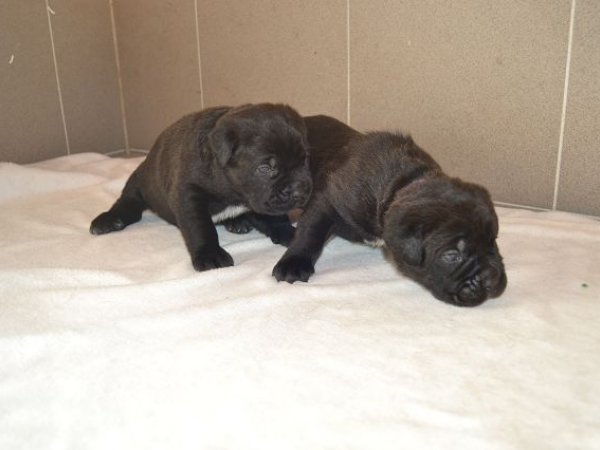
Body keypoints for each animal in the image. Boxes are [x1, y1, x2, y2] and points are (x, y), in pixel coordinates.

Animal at [90, 103, 312, 271]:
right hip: (140, 181)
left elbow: (275, 217)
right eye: (265, 168)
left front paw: (289, 233)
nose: (300, 191)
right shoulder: (189, 195)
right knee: (129, 201)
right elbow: (201, 227)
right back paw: (110, 220)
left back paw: (238, 222)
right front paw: (210, 254)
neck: (234, 192)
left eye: (304, 160)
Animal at [272, 115, 507, 307]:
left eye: (493, 240)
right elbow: (309, 233)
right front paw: (293, 263)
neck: (400, 183)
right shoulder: (327, 200)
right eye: (452, 255)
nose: (491, 278)